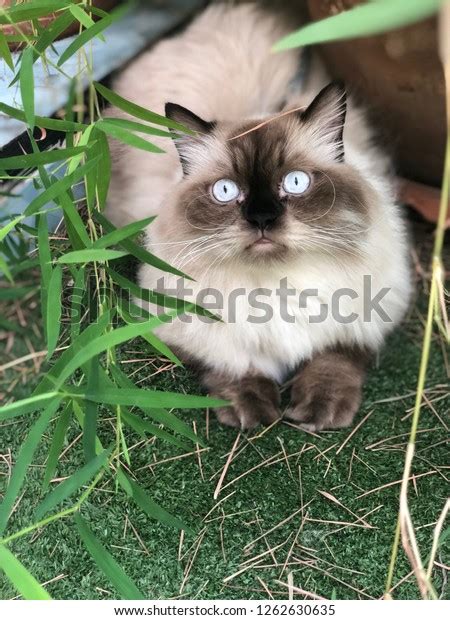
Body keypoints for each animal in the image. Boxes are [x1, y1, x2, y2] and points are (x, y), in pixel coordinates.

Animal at [105, 3, 412, 432]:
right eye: (225, 191)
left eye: (296, 182)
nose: (262, 219)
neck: (277, 288)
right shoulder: (195, 329)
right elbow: (236, 369)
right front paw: (253, 414)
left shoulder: (364, 318)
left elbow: (334, 359)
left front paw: (319, 413)